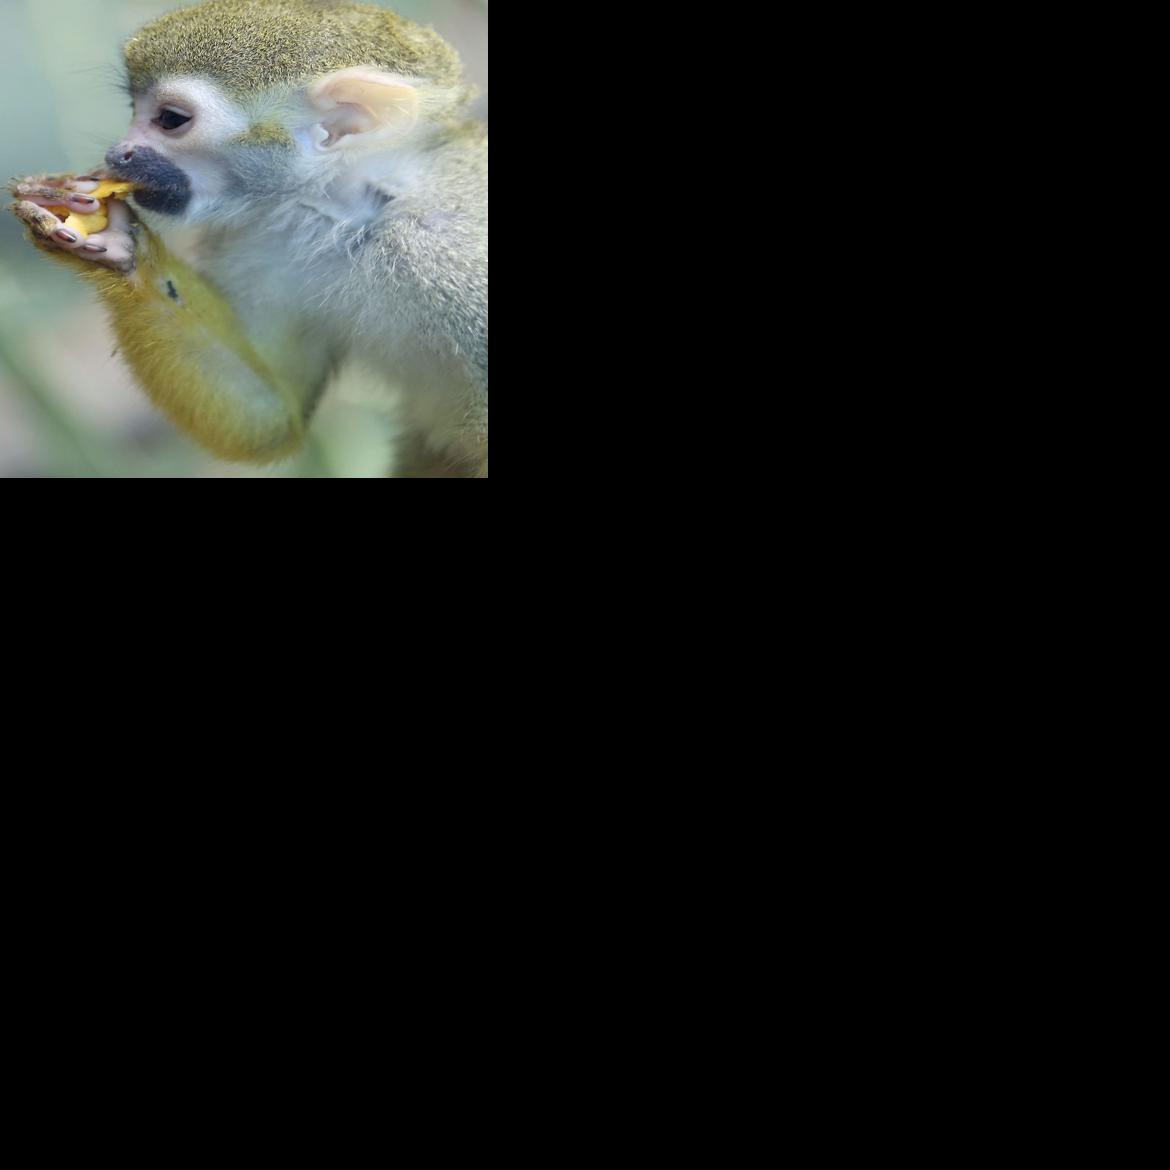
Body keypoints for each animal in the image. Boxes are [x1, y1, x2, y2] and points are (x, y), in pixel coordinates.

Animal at [10, 0, 487, 478]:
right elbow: (268, 416)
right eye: (132, 108)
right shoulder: (258, 242)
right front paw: (119, 248)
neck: (351, 215)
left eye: (170, 120)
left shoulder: (452, 251)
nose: (117, 154)